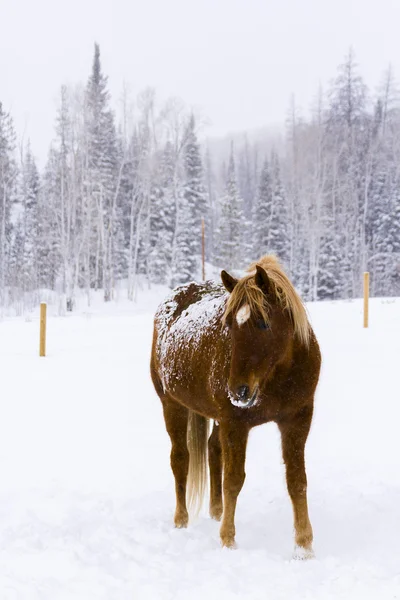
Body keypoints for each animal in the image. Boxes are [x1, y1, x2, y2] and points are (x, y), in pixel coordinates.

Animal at [150, 254, 322, 556]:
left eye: (263, 322)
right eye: (229, 324)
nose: (238, 391)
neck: (278, 376)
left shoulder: (298, 419)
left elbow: (297, 480)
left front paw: (304, 546)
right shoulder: (236, 423)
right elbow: (234, 480)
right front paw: (228, 539)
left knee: (212, 449)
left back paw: (216, 511)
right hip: (172, 404)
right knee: (180, 459)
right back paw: (181, 520)